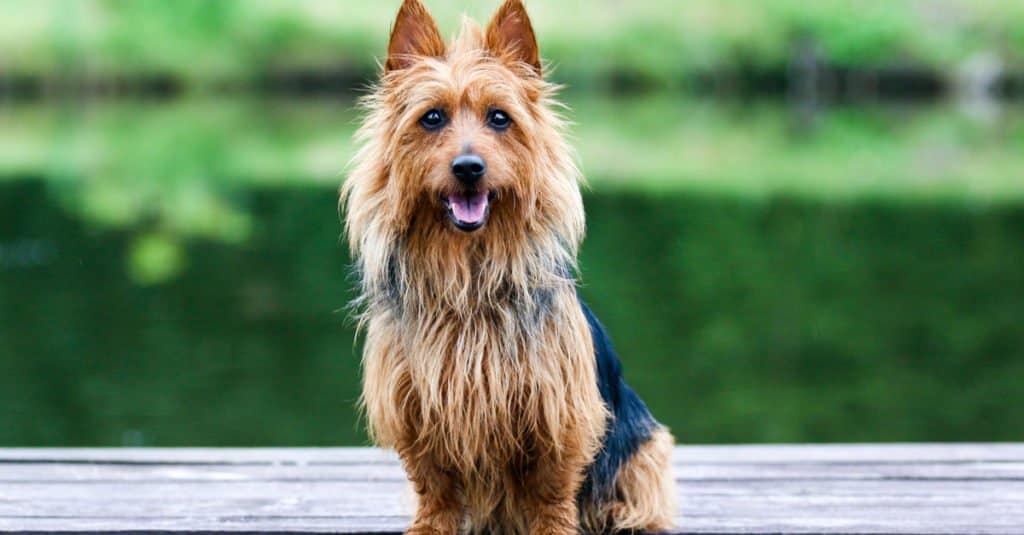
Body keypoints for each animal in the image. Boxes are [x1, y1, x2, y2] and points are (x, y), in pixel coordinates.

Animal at [342, 2, 679, 528]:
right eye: (431, 118)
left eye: (499, 118)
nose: (468, 167)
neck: (469, 273)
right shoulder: (412, 402)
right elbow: (433, 484)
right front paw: (430, 527)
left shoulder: (556, 407)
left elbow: (551, 488)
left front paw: (554, 528)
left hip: (647, 449)